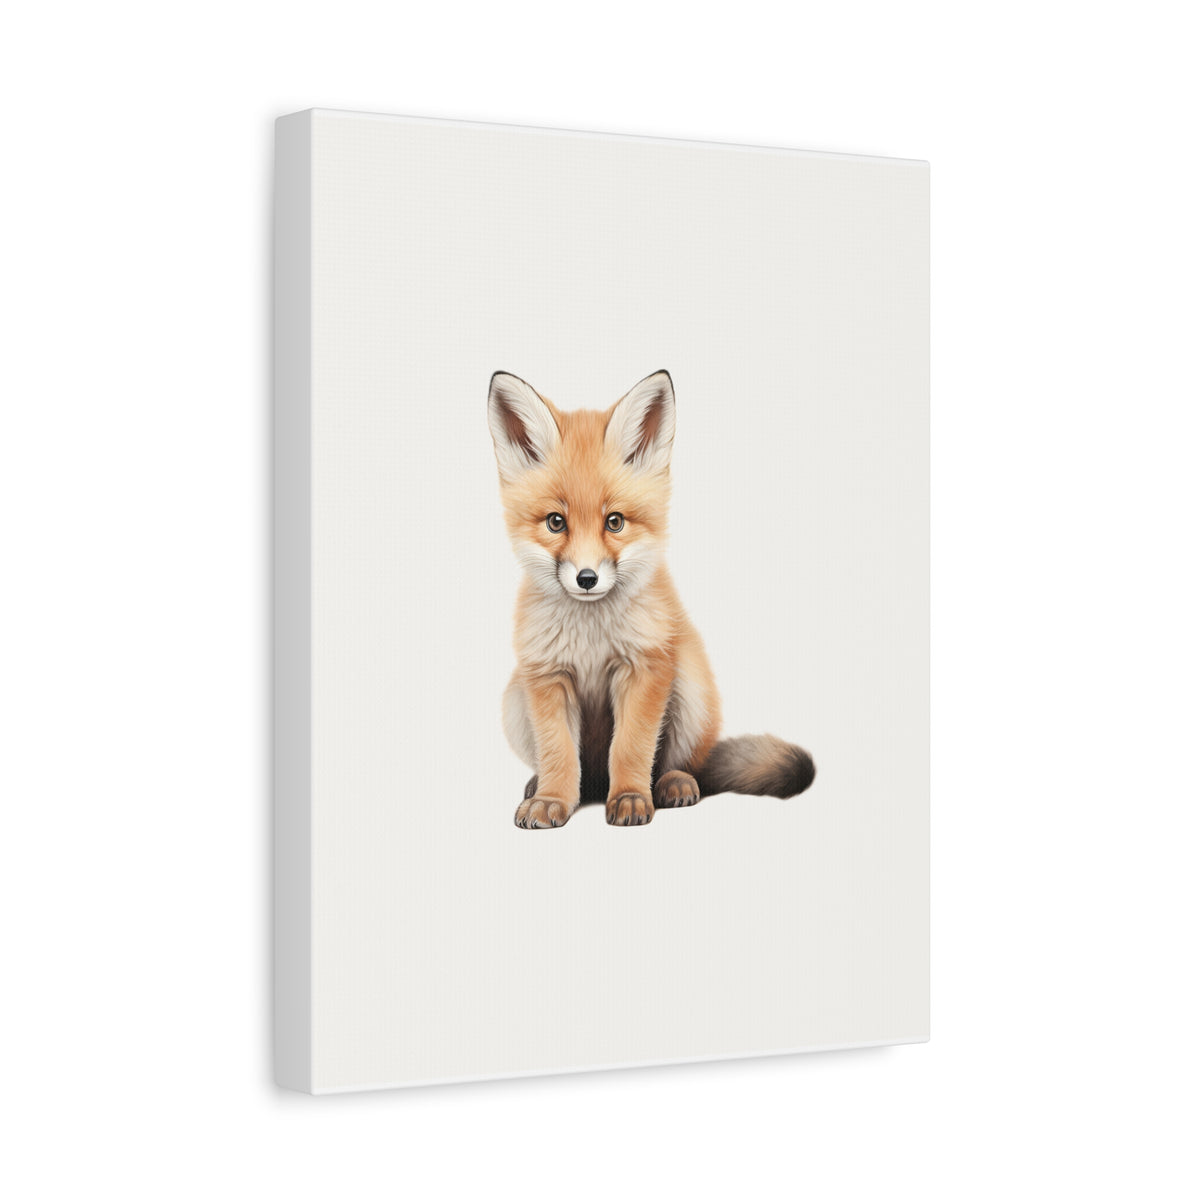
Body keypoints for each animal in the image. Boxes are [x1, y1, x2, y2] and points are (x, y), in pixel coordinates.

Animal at [488, 369, 815, 828]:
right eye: (556, 522)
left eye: (614, 522)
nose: (586, 578)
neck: (592, 638)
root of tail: (595, 784)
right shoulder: (547, 675)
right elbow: (557, 753)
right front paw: (552, 798)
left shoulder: (643, 668)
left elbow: (631, 747)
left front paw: (629, 796)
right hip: (515, 698)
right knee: (573, 769)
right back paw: (544, 785)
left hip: (690, 688)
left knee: (680, 765)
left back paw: (672, 784)